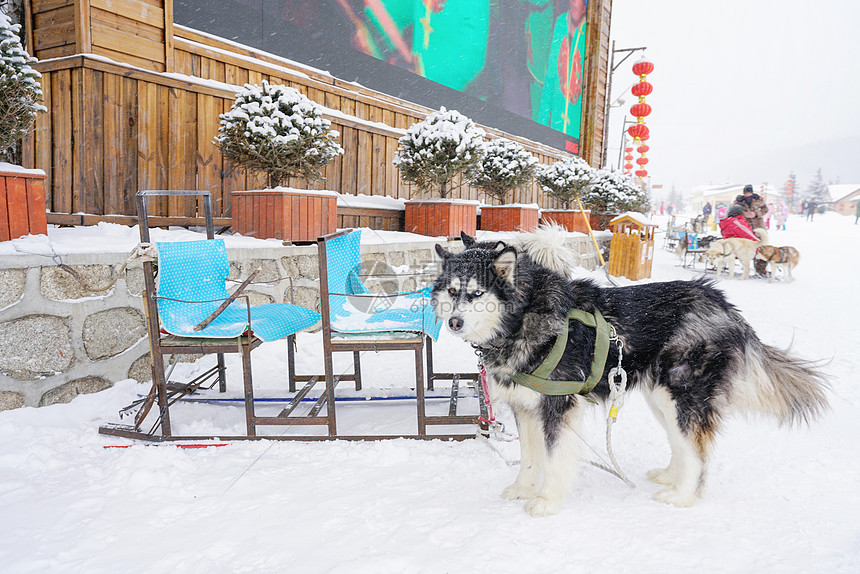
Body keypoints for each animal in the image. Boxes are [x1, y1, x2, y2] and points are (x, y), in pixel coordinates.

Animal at [434, 232, 828, 520]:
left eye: (477, 293)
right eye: (452, 291)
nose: (454, 322)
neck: (525, 317)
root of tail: (724, 304)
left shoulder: (559, 408)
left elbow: (555, 459)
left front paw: (547, 501)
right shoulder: (526, 409)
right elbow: (531, 458)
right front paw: (522, 489)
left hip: (681, 397)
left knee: (698, 452)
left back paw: (682, 496)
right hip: (662, 401)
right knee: (682, 444)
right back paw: (669, 475)